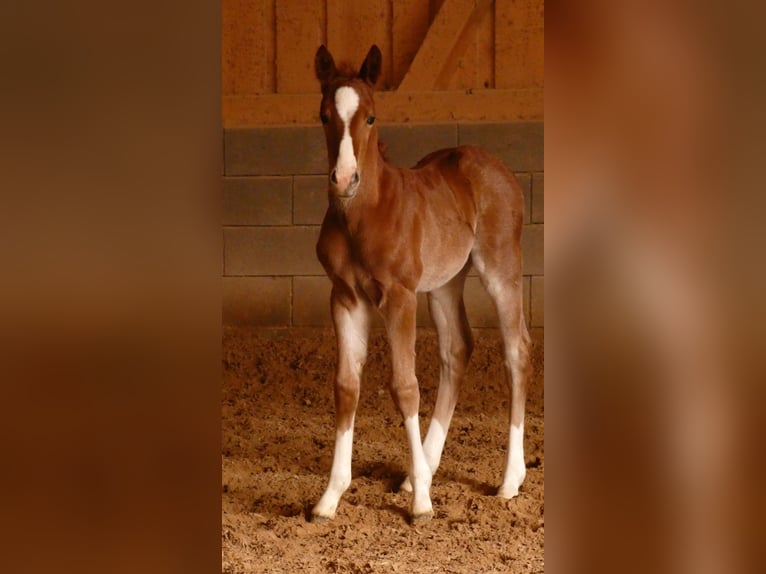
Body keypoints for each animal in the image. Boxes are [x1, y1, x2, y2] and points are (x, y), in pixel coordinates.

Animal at [311, 44, 532, 523]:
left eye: (371, 117)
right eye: (323, 115)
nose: (344, 179)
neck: (363, 215)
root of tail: (496, 167)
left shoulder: (399, 296)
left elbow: (405, 385)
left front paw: (423, 505)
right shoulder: (345, 297)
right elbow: (346, 385)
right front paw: (330, 497)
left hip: (500, 268)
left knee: (516, 350)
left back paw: (509, 480)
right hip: (444, 284)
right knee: (457, 349)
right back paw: (421, 472)